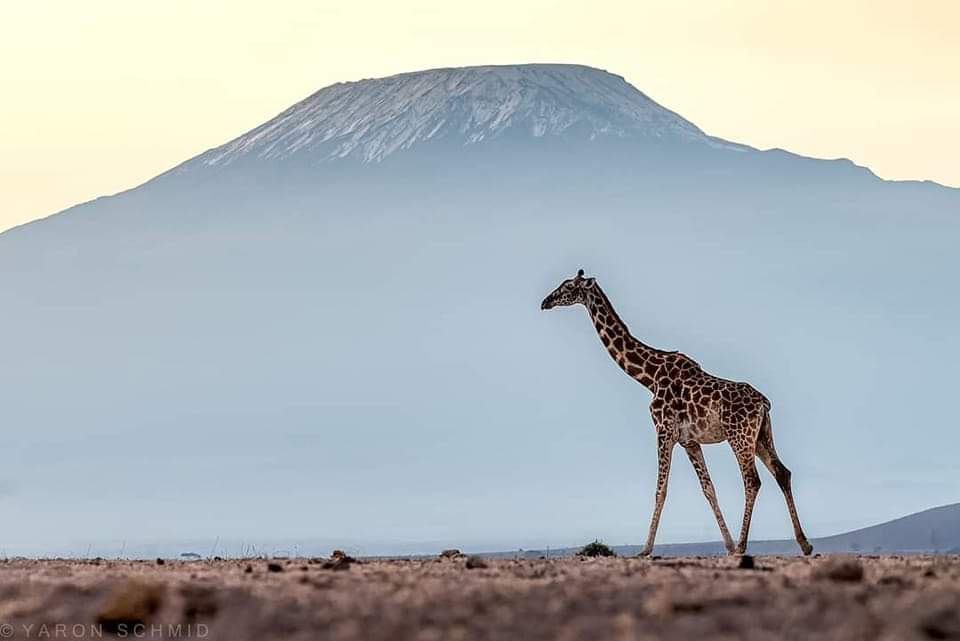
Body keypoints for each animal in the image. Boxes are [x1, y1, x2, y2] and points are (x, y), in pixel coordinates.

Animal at [540, 268, 808, 552]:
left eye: (569, 286)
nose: (545, 301)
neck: (649, 376)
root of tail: (763, 403)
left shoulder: (663, 430)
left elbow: (661, 489)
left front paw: (645, 550)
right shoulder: (689, 441)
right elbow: (708, 489)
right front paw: (726, 545)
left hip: (739, 436)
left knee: (752, 480)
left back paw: (743, 545)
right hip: (761, 436)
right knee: (782, 473)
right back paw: (804, 544)